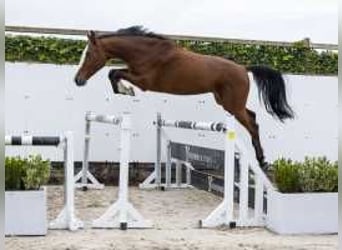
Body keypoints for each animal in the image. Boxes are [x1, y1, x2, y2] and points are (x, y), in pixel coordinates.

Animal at [75, 25, 294, 170]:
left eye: (89, 54)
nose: (78, 80)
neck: (145, 51)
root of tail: (243, 68)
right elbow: (113, 73)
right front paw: (124, 90)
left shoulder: (144, 81)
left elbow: (114, 73)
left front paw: (126, 90)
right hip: (226, 102)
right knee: (253, 117)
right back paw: (261, 159)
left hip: (234, 106)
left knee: (252, 124)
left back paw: (262, 161)